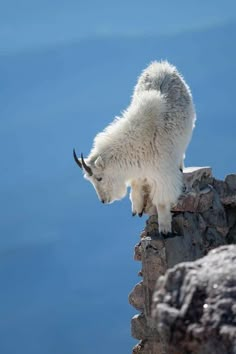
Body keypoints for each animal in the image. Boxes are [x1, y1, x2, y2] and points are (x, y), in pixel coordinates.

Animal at [73, 61, 195, 235]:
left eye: (99, 178)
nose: (103, 201)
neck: (138, 143)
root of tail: (162, 65)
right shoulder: (137, 169)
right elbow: (136, 185)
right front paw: (137, 209)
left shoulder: (163, 175)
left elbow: (162, 201)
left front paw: (165, 229)